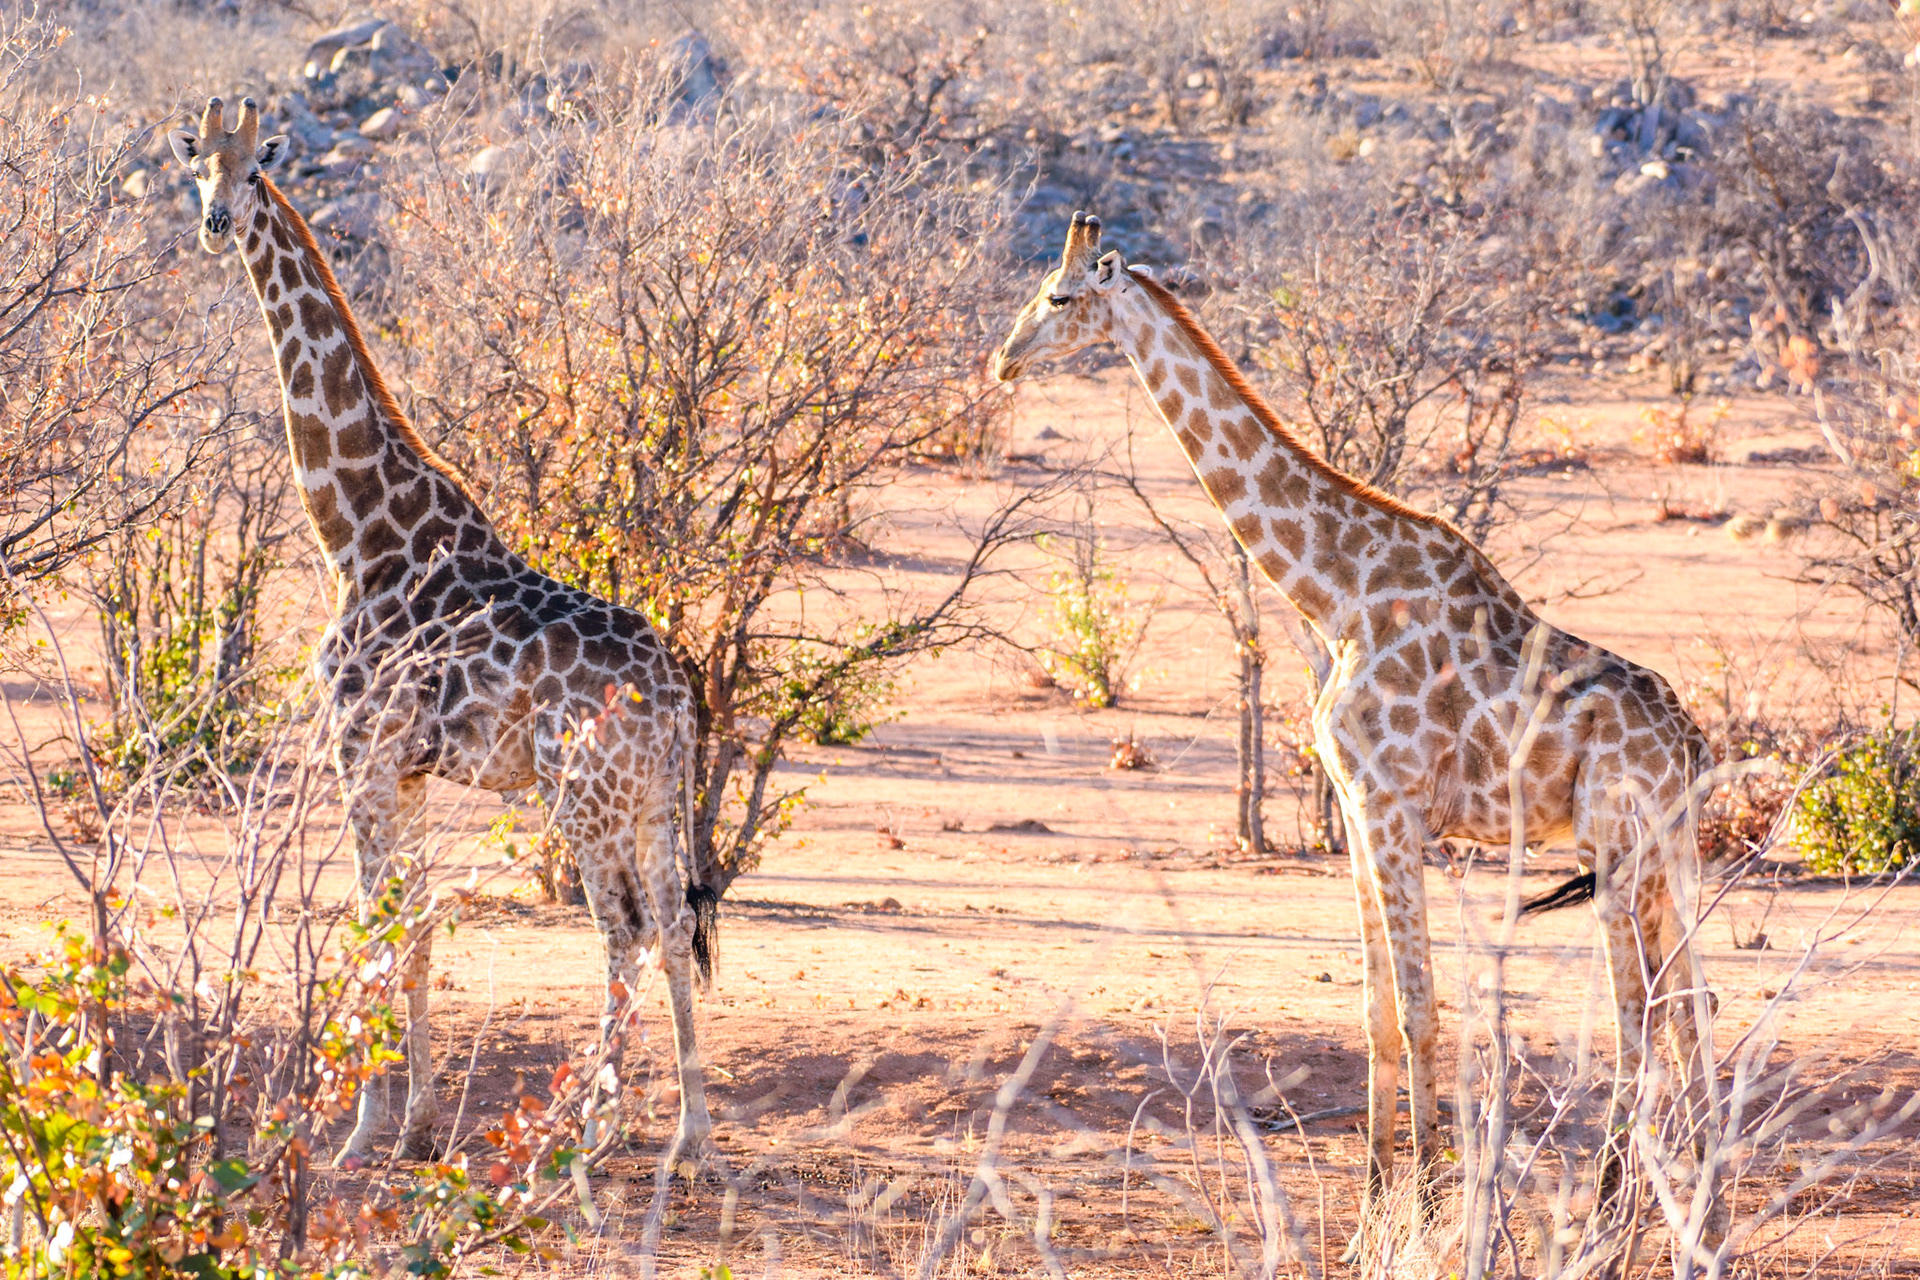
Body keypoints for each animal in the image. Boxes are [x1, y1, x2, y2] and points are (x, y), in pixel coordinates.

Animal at [170, 98, 716, 1167]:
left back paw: (593, 1134)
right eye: (196, 169)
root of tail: (676, 694)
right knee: (674, 925)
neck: (356, 533)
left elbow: (376, 928)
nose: (215, 226)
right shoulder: (412, 768)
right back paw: (691, 1139)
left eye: (256, 172)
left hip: (582, 795)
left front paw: (360, 1134)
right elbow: (416, 929)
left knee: (622, 928)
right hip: (652, 799)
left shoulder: (361, 749)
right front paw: (418, 1127)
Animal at [994, 213, 1715, 1226]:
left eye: (1058, 297)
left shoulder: (1391, 807)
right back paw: (1695, 1203)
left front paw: (1428, 1203)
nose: (1002, 361)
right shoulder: (1357, 808)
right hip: (1667, 854)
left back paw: (1615, 1208)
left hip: (1617, 848)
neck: (1335, 595)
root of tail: (1694, 746)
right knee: (1691, 1006)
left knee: (1638, 1013)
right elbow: (1375, 1009)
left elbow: (1418, 1007)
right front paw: (1374, 1207)